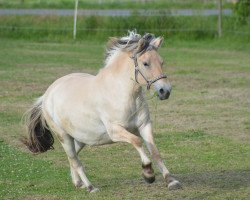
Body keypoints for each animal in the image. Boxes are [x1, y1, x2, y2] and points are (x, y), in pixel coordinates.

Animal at [22, 30, 181, 192]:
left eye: (162, 62)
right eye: (145, 63)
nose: (165, 91)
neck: (123, 94)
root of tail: (46, 96)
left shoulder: (144, 126)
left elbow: (155, 152)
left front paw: (171, 181)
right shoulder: (115, 131)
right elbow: (137, 141)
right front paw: (148, 173)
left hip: (80, 138)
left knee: (73, 158)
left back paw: (78, 183)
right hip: (63, 136)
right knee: (75, 160)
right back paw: (90, 187)